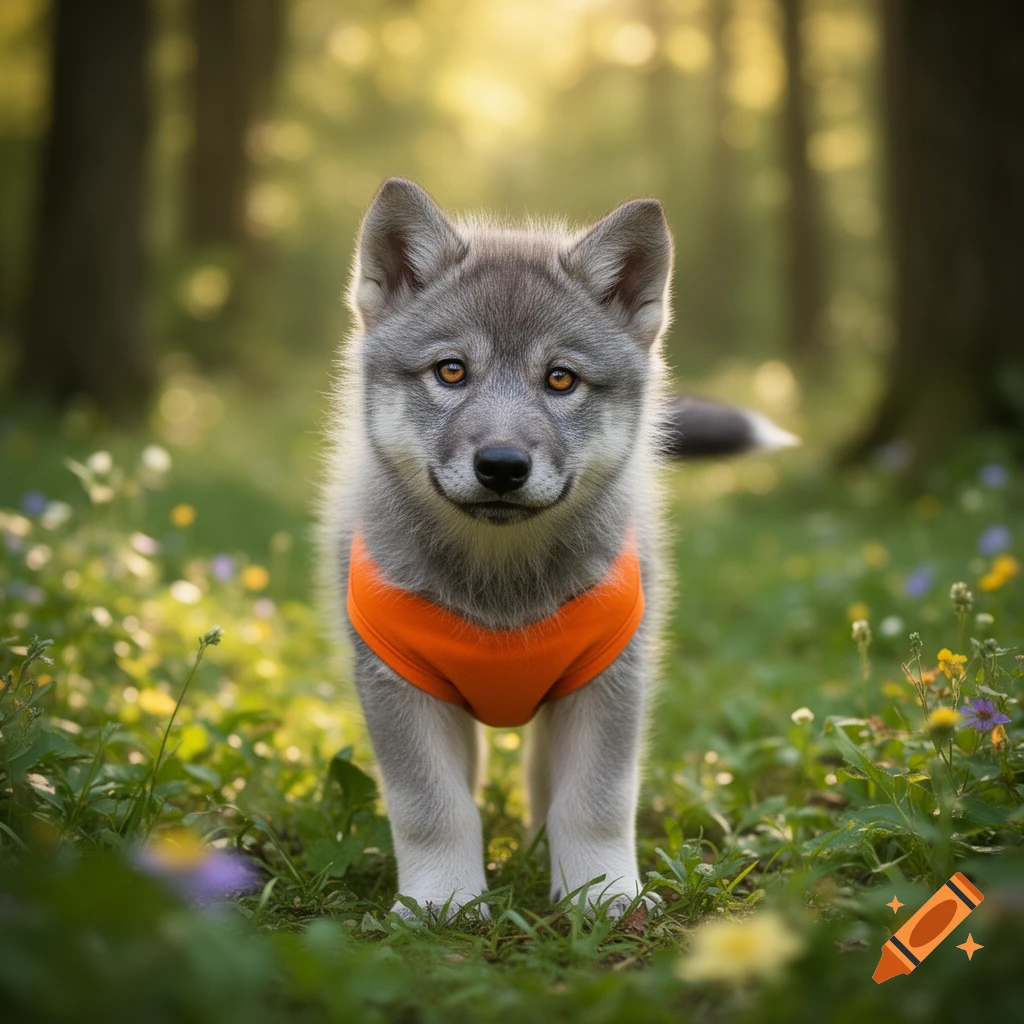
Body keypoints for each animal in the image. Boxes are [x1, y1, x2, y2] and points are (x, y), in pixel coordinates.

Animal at [318, 178, 794, 922]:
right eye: (451, 371)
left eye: (561, 379)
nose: (502, 465)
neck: (501, 584)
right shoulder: (399, 686)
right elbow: (432, 808)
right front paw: (443, 903)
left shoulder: (606, 683)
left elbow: (594, 803)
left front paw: (602, 896)